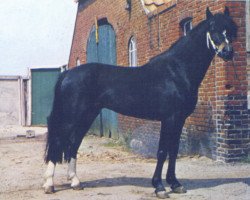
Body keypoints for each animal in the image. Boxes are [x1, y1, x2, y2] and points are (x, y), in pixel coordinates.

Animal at [44, 7, 237, 198]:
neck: (177, 71)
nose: (228, 52)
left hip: (87, 116)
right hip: (70, 117)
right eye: (213, 28)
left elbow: (173, 150)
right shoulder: (169, 118)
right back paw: (49, 185)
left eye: (230, 29)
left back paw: (75, 182)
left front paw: (175, 184)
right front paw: (159, 187)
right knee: (57, 143)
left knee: (72, 144)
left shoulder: (179, 119)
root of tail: (67, 74)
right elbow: (162, 151)